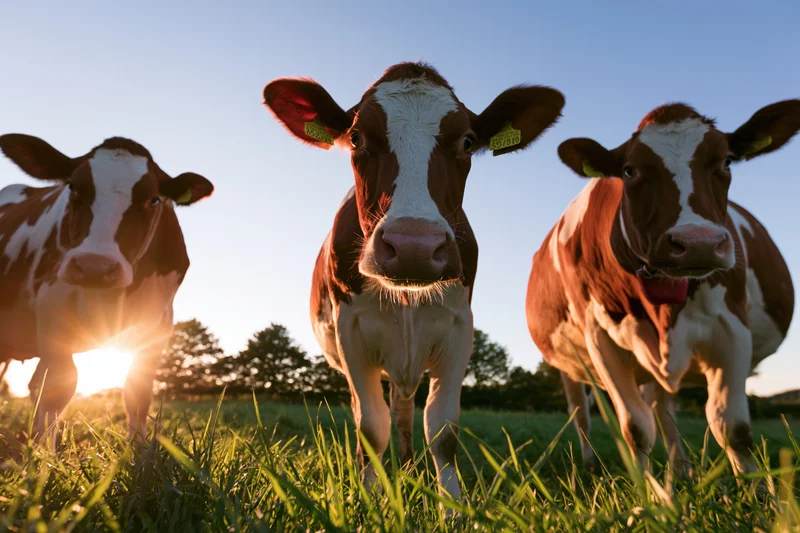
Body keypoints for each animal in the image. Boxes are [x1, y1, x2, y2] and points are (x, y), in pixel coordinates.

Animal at [0, 134, 213, 445]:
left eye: (153, 199)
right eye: (73, 187)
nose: (94, 267)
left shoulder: (159, 323)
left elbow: (138, 391)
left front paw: (139, 452)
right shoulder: (52, 307)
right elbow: (58, 385)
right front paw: (43, 456)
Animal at [264, 62, 564, 498]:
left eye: (467, 142)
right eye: (357, 137)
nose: (414, 247)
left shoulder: (459, 329)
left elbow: (442, 429)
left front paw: (452, 503)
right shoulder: (350, 330)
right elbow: (371, 427)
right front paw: (370, 499)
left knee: (404, 412)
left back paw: (406, 468)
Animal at [526, 100, 799, 475]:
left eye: (727, 161)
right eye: (629, 171)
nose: (698, 243)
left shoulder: (731, 327)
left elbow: (733, 429)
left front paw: (755, 488)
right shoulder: (600, 339)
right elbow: (636, 429)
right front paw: (647, 492)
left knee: (663, 409)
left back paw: (680, 470)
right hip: (570, 367)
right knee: (582, 413)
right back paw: (592, 465)